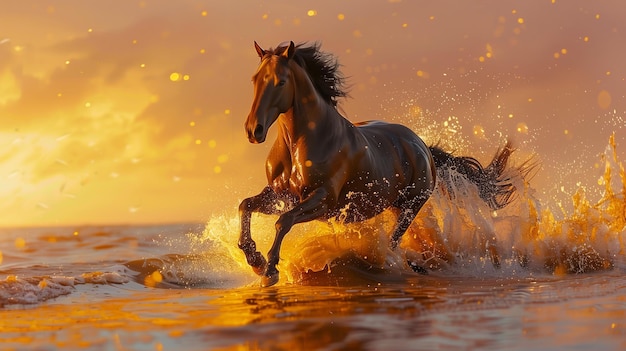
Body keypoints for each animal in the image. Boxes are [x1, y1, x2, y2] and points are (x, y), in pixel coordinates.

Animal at [236, 42, 516, 288]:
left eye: (281, 81)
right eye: (254, 79)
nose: (253, 130)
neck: (303, 144)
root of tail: (421, 145)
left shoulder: (323, 200)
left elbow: (283, 221)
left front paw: (269, 271)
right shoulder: (282, 195)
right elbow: (246, 205)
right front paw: (255, 260)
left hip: (409, 207)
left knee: (393, 243)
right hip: (392, 206)